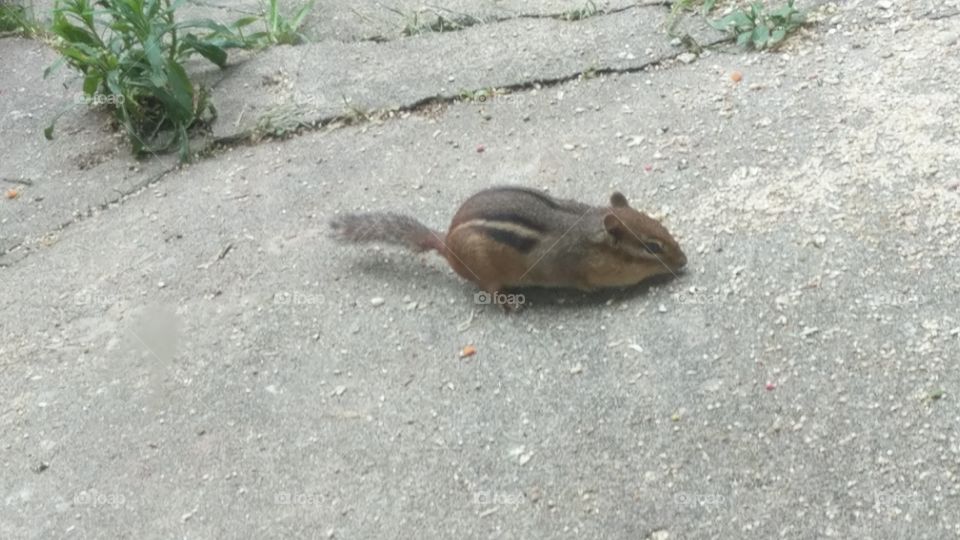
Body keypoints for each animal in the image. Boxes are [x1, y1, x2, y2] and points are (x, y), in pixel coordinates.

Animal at [330, 186, 687, 309]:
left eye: (662, 227)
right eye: (653, 247)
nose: (683, 261)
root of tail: (447, 245)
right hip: (484, 268)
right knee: (488, 289)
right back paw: (508, 301)